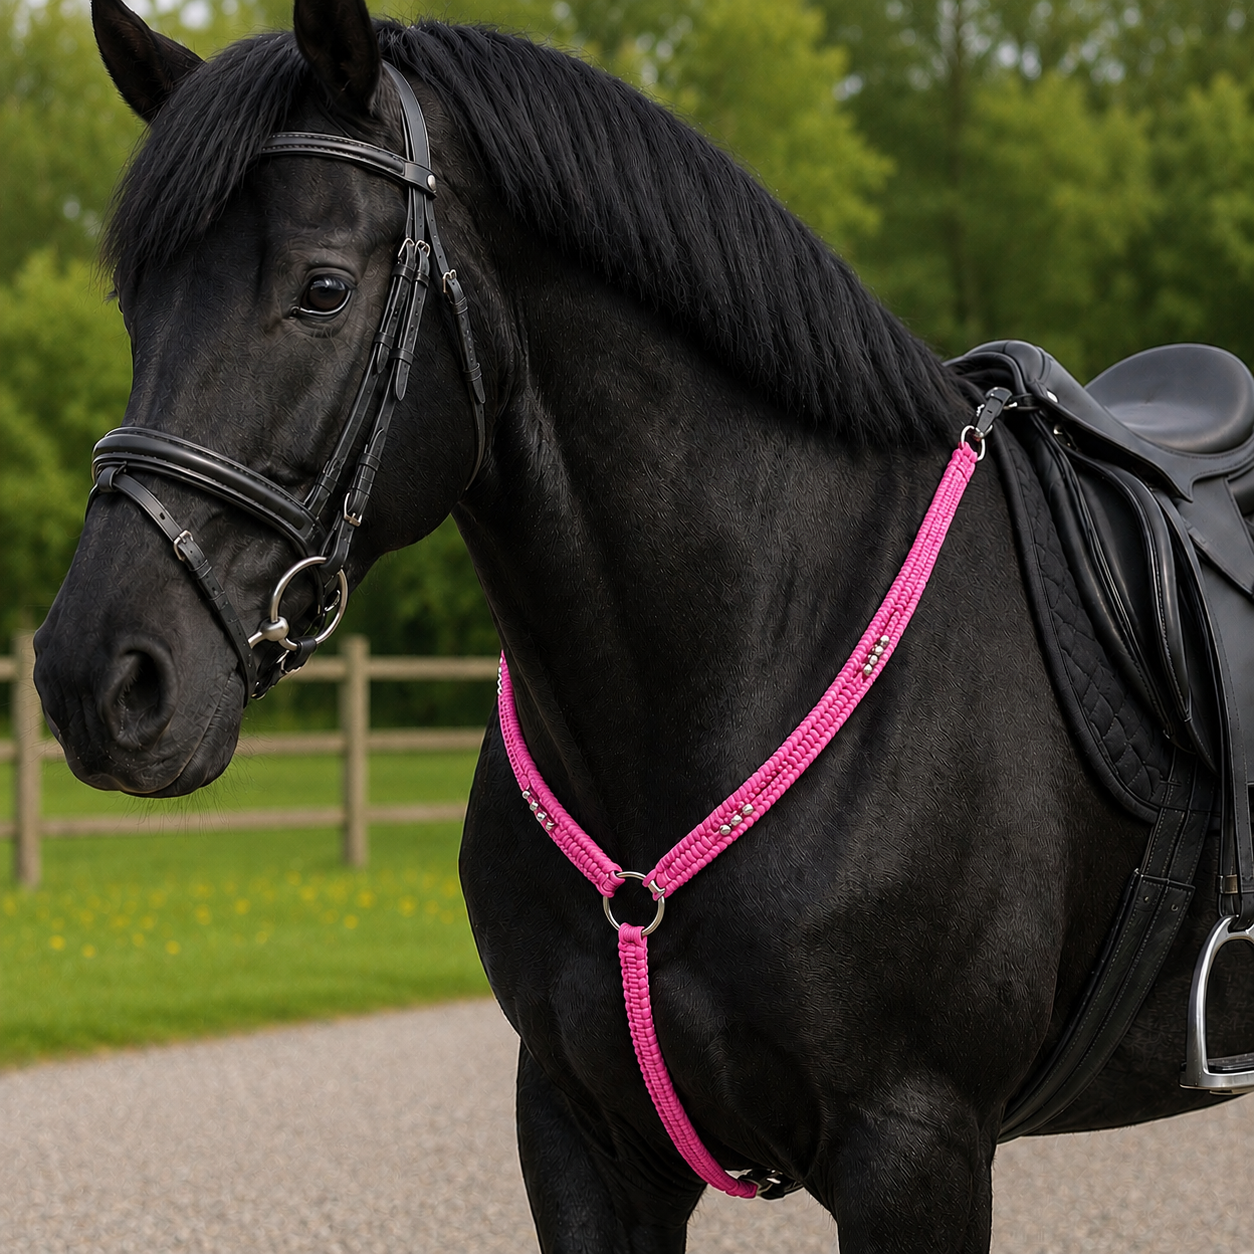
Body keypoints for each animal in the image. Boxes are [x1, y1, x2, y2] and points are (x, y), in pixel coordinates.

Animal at [33, 0, 1254, 1248]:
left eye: (322, 289)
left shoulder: (917, 1151)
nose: (99, 676)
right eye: (136, 304)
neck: (763, 638)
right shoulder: (584, 1136)